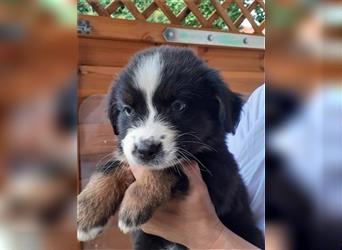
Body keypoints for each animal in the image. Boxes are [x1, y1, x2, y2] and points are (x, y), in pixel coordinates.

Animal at [77, 46, 264, 249]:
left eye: (178, 106)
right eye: (128, 110)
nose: (145, 150)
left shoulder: (219, 176)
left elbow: (169, 167)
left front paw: (136, 203)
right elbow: (109, 167)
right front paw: (87, 212)